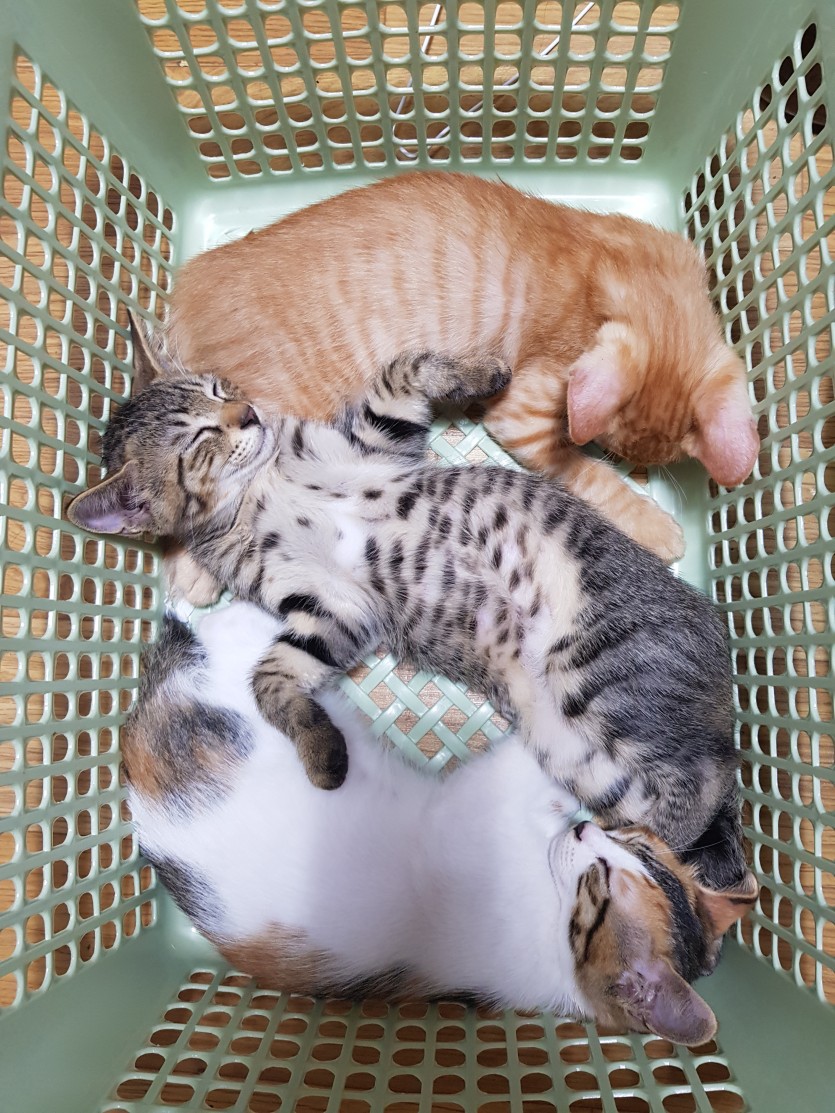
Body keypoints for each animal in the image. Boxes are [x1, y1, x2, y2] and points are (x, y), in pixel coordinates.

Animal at [67, 329, 755, 907]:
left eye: (218, 389)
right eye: (194, 440)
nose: (248, 414)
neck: (261, 486)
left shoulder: (376, 436)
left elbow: (408, 364)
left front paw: (486, 373)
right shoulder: (327, 611)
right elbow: (270, 679)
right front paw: (321, 752)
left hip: (600, 679)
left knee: (707, 779)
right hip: (583, 747)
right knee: (697, 788)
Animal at [163, 170, 759, 581]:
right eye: (608, 447)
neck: (638, 281)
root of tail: (190, 283)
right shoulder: (522, 414)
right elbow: (588, 474)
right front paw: (650, 521)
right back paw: (193, 574)